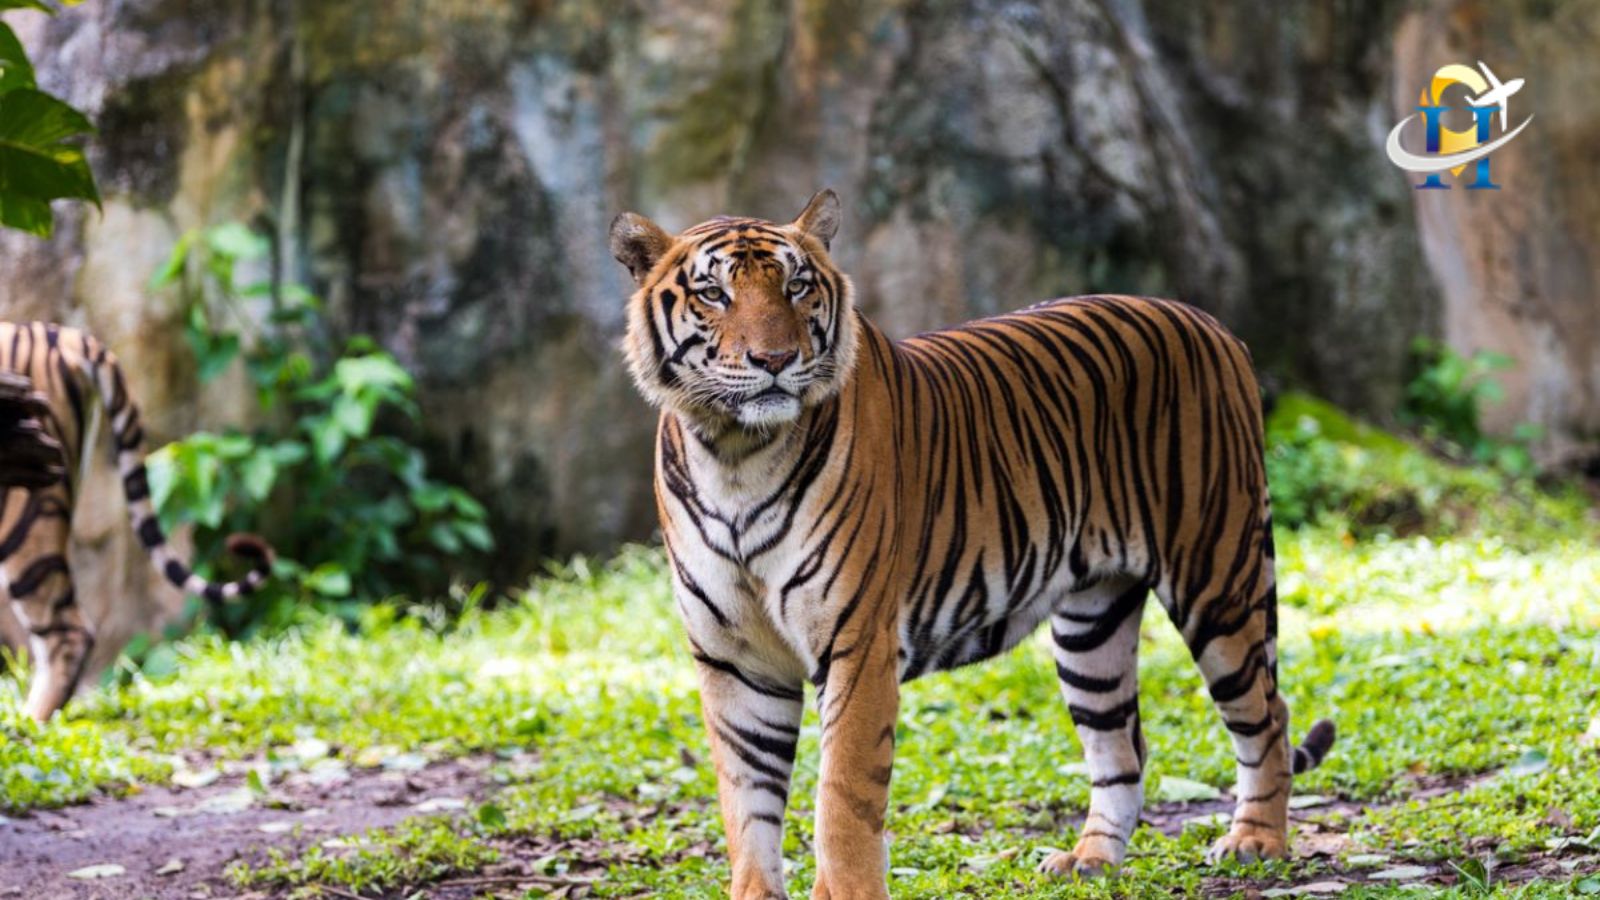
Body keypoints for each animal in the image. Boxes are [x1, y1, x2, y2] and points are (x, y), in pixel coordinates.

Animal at [609, 190, 1336, 899]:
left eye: (796, 287)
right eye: (714, 294)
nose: (776, 362)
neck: (734, 455)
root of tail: (1210, 323)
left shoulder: (857, 645)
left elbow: (841, 801)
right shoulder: (734, 661)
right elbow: (748, 808)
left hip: (1218, 576)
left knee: (1268, 713)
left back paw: (1256, 841)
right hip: (1092, 627)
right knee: (1122, 749)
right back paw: (1090, 859)